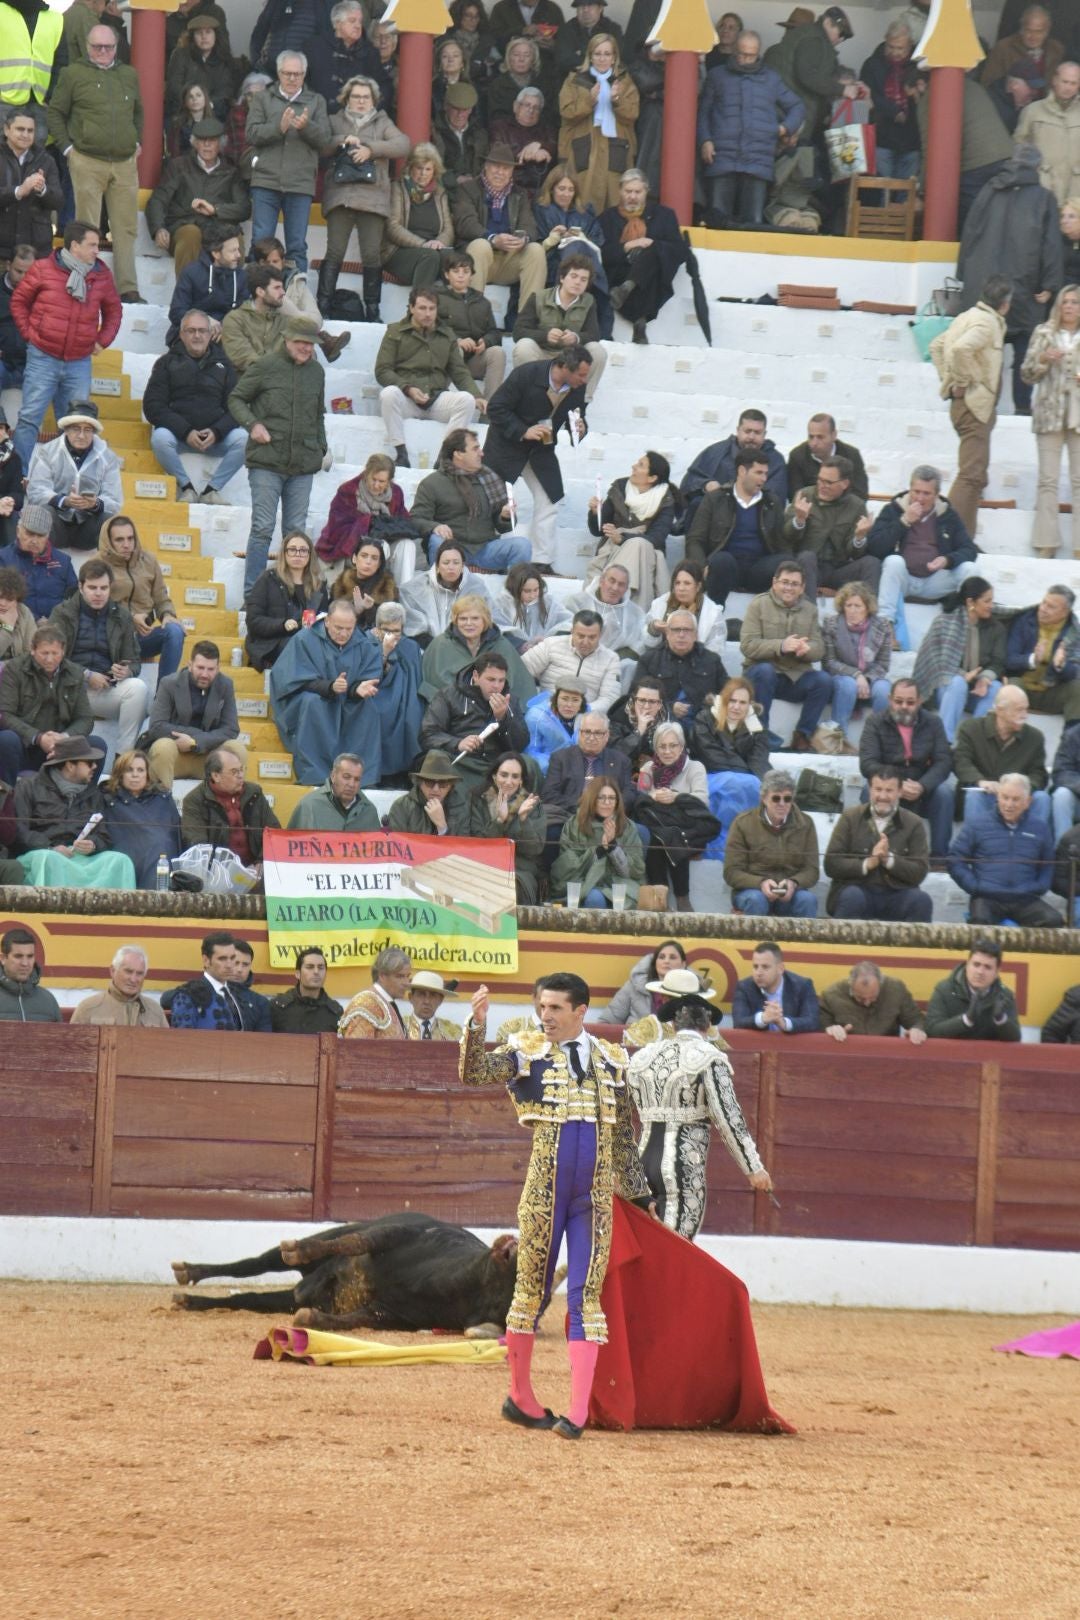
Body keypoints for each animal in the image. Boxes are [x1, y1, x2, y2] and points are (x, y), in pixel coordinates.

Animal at [173, 1211, 518, 1334]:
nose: (512, 1243)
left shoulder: (391, 1315)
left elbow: (350, 1319)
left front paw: (309, 1318)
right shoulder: (398, 1233)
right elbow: (357, 1241)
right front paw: (298, 1249)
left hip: (284, 1298)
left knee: (248, 1298)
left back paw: (190, 1300)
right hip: (318, 1240)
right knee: (254, 1264)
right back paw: (188, 1271)